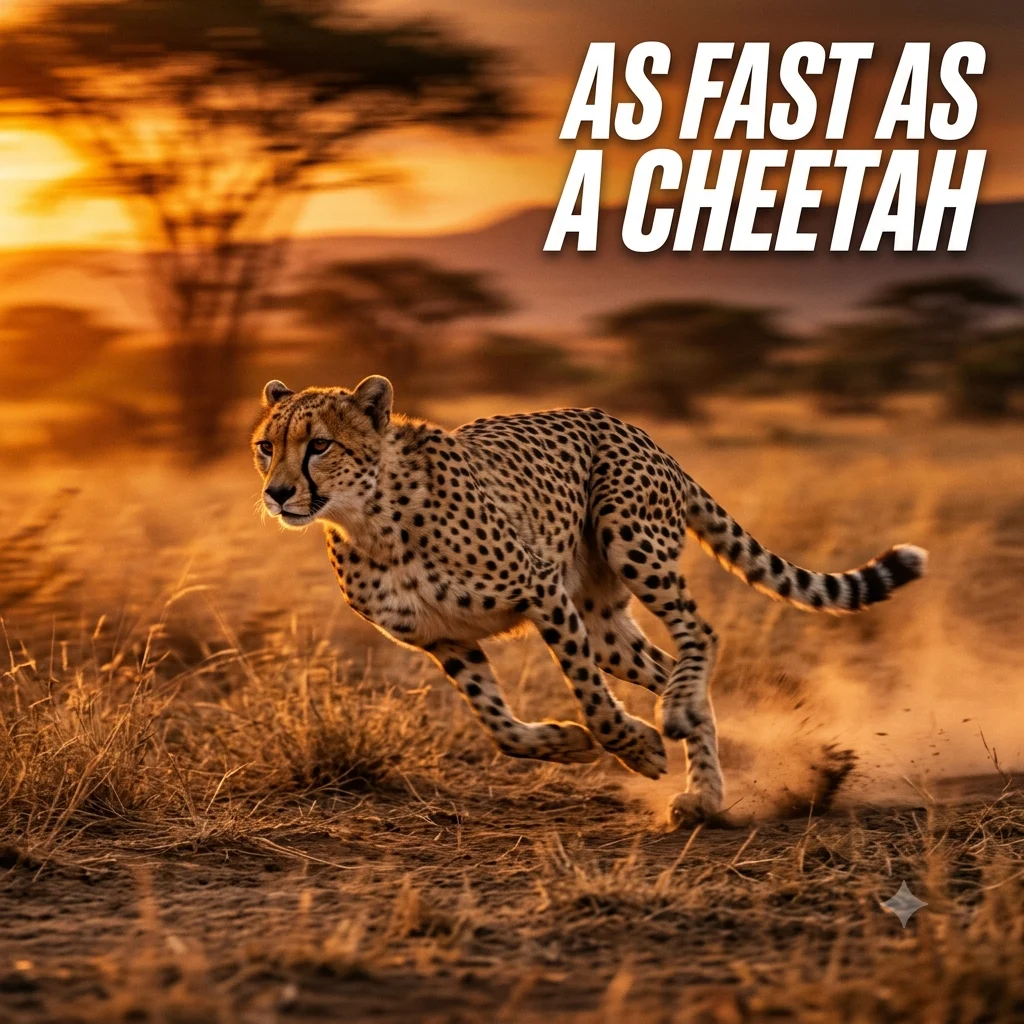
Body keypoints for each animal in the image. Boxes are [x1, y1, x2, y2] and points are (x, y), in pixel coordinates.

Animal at [252, 375, 927, 823]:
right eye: (266, 446)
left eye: (319, 445)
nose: (277, 494)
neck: (368, 519)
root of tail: (632, 428)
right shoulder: (447, 638)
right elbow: (498, 725)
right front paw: (567, 743)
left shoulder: (541, 591)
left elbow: (592, 701)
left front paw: (632, 746)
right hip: (604, 624)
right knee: (669, 667)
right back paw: (706, 790)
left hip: (631, 542)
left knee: (700, 633)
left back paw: (678, 724)